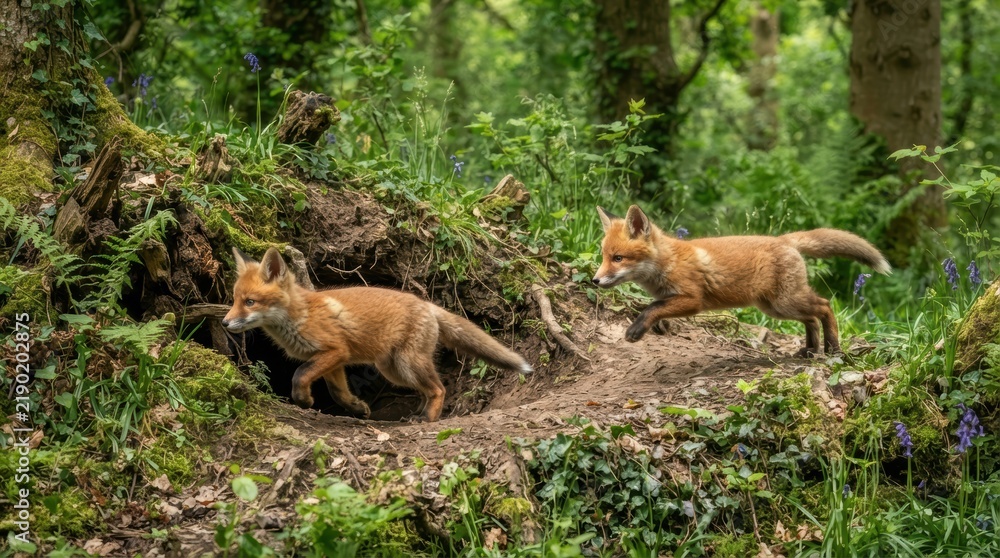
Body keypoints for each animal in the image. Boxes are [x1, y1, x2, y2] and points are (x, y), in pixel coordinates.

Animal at [222, 247, 532, 422]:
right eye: (235, 299)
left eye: (250, 302)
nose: (224, 323)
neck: (301, 315)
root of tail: (427, 304)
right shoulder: (333, 361)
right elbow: (338, 393)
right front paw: (357, 408)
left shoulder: (335, 351)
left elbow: (300, 375)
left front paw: (304, 400)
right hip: (394, 370)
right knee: (427, 390)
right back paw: (418, 414)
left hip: (408, 363)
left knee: (439, 389)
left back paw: (427, 419)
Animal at [592, 205, 892, 357]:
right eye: (604, 256)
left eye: (618, 258)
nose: (594, 280)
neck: (668, 261)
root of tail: (784, 239)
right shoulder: (670, 298)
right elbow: (655, 307)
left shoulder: (692, 299)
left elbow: (651, 308)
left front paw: (637, 329)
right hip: (775, 308)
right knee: (811, 318)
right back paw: (810, 349)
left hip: (786, 302)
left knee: (825, 306)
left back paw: (832, 349)